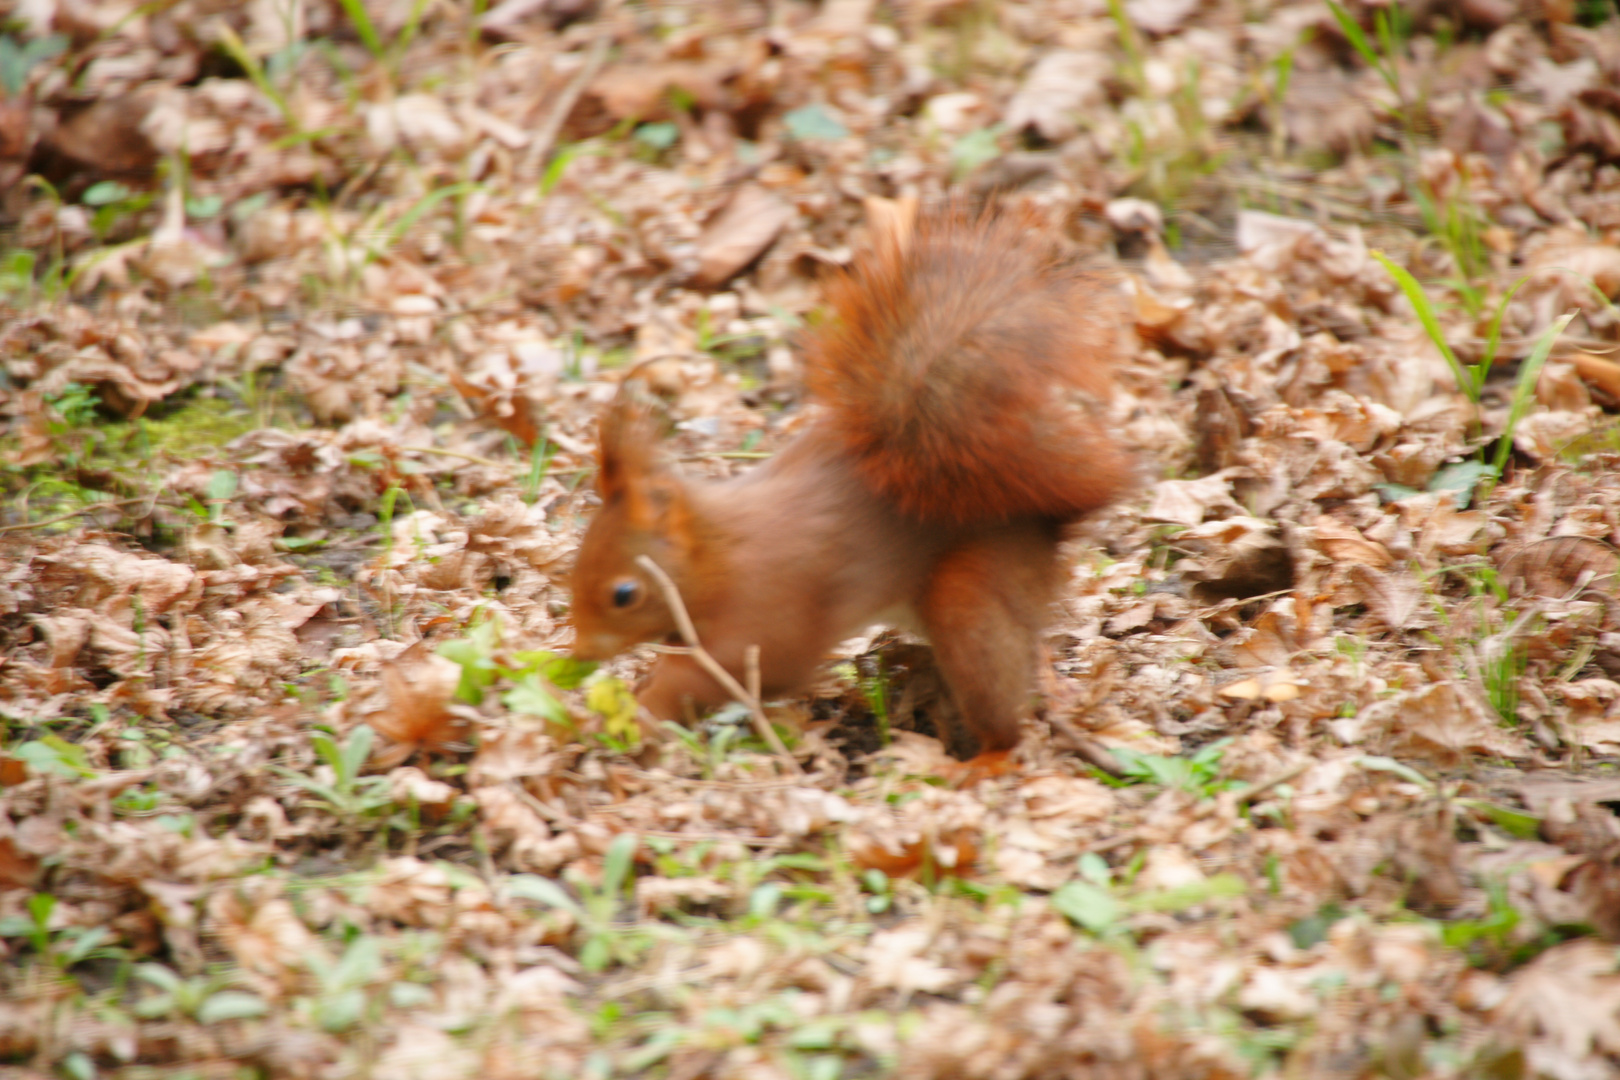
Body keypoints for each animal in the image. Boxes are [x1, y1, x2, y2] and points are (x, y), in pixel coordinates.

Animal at [570, 207, 1140, 773]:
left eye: (624, 594)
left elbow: (738, 670)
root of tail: (1043, 518)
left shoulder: (770, 608)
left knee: (1001, 702)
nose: (579, 653)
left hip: (972, 593)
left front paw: (646, 710)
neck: (716, 553)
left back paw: (982, 762)